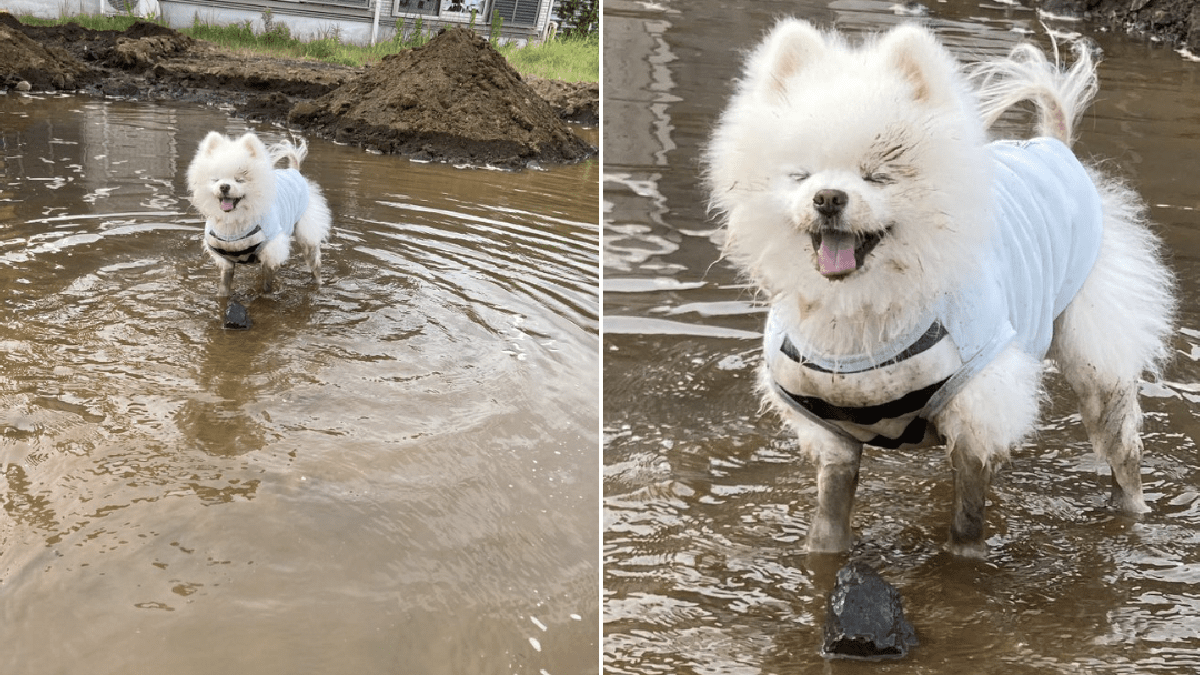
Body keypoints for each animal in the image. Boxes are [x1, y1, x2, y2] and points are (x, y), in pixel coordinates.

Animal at [187, 132, 331, 295]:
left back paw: (318, 285)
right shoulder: (226, 261)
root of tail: (294, 171)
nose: (224, 186)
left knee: (315, 264)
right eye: (216, 179)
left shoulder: (270, 253)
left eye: (240, 180)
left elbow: (266, 285)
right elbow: (224, 289)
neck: (234, 220)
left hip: (307, 236)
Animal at [700, 22, 1171, 557]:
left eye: (877, 175)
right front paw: (823, 558)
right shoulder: (831, 437)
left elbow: (967, 520)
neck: (862, 309)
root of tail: (1056, 145)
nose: (828, 198)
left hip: (1097, 359)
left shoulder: (975, 415)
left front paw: (965, 563)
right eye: (801, 175)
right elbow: (830, 521)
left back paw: (1134, 514)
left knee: (1122, 447)